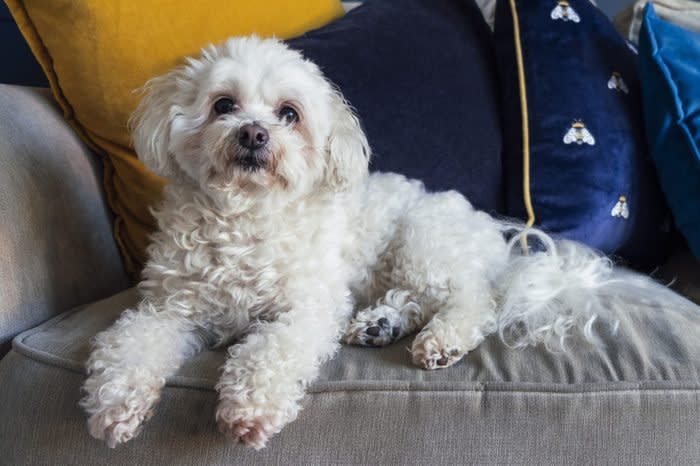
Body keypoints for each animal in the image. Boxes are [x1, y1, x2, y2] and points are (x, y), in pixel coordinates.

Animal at [79, 35, 692, 448]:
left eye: (289, 114)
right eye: (223, 104)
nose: (253, 134)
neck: (245, 220)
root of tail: (494, 240)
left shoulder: (305, 310)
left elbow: (268, 353)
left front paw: (250, 411)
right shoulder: (167, 310)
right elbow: (129, 344)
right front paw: (117, 405)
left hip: (422, 240)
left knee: (475, 301)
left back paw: (440, 339)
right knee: (419, 300)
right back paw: (381, 324)